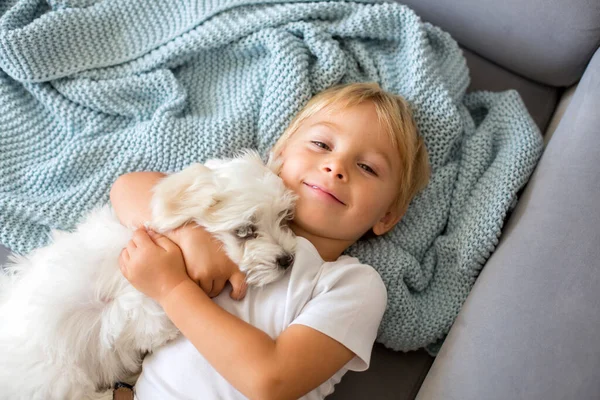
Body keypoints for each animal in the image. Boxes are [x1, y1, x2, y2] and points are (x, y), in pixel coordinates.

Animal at [0, 151, 298, 400]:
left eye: (283, 218)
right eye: (245, 231)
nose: (287, 259)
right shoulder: (140, 305)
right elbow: (153, 323)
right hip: (62, 379)